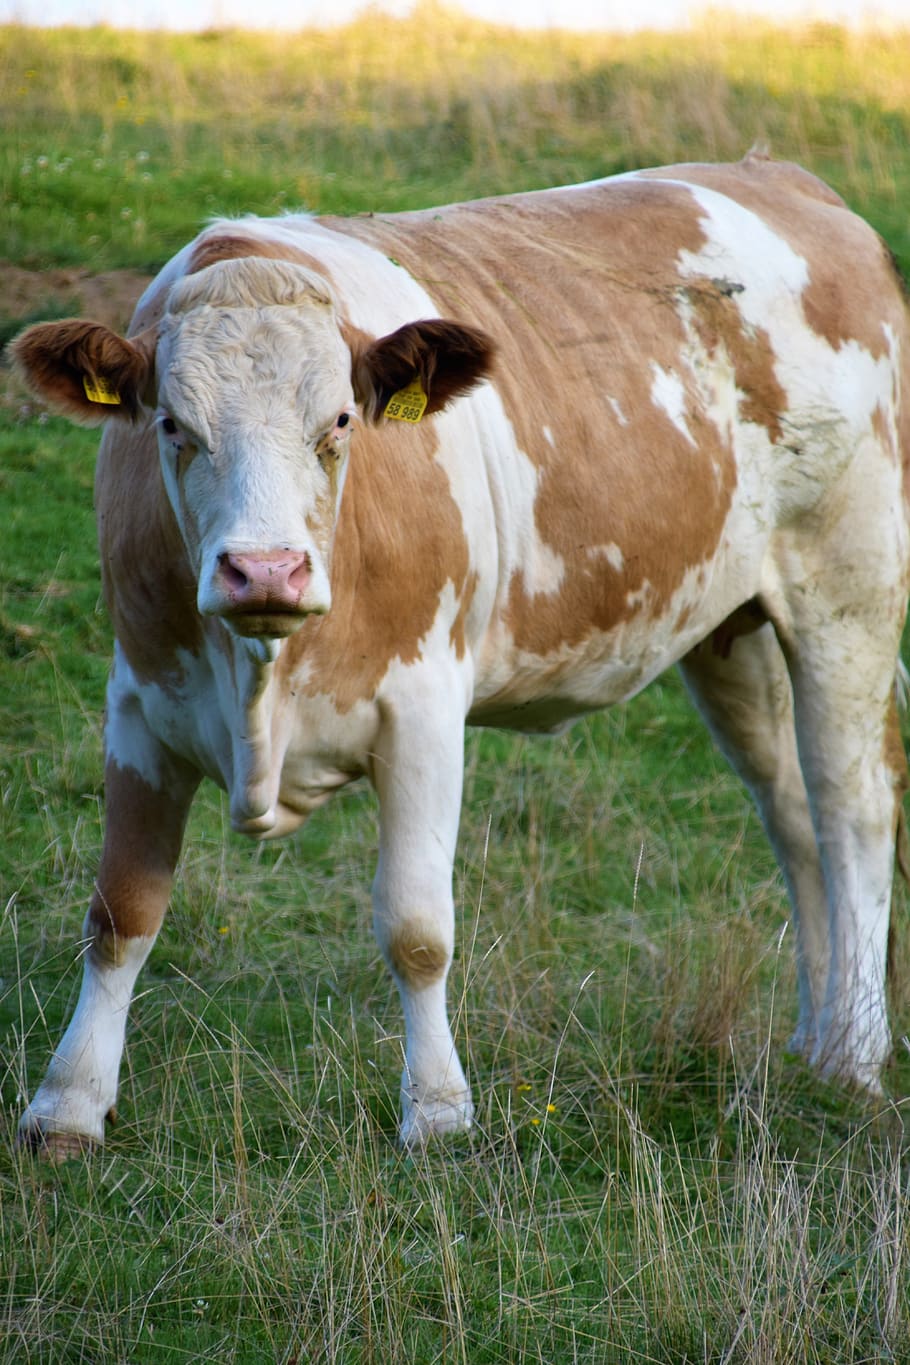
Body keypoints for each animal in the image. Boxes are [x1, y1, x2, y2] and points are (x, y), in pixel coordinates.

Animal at [12, 151, 910, 1158]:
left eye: (340, 421)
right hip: (733, 627)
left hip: (849, 585)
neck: (262, 680)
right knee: (791, 813)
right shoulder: (138, 705)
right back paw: (812, 1039)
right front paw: (67, 1105)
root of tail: (784, 176)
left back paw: (854, 1052)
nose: (265, 569)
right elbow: (119, 914)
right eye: (173, 425)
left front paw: (438, 1111)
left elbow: (416, 927)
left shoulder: (424, 709)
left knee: (852, 809)